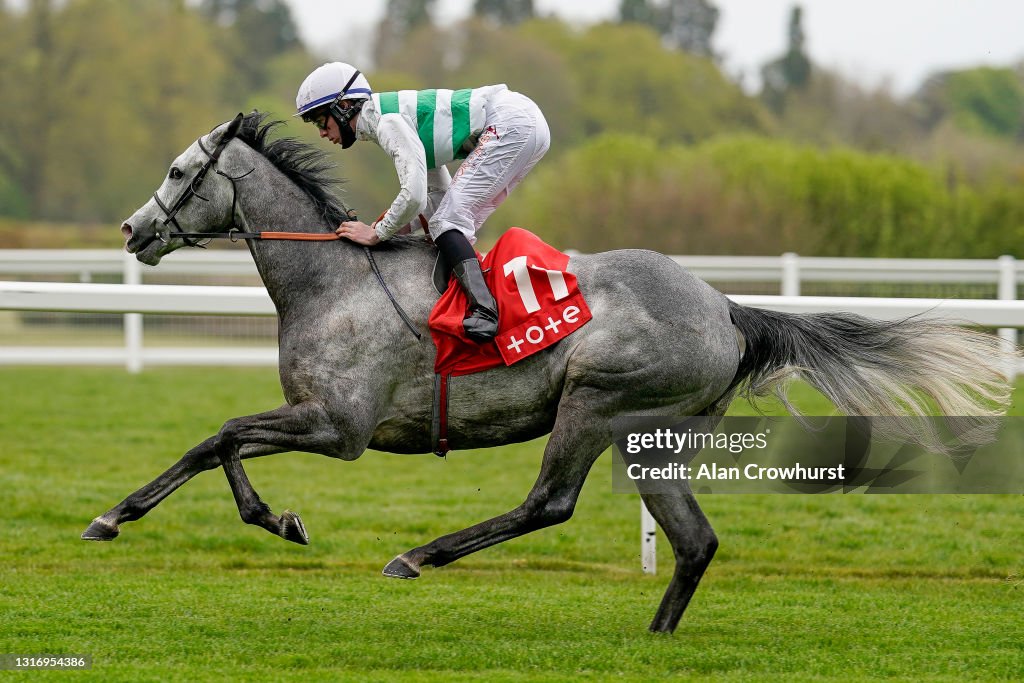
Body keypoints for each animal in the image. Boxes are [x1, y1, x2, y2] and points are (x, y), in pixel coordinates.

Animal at [88, 113, 1015, 634]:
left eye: (180, 171)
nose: (132, 230)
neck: (334, 278)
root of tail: (724, 307)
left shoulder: (339, 426)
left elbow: (220, 435)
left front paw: (245, 517)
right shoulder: (315, 416)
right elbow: (216, 443)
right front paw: (149, 515)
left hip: (597, 401)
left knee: (549, 502)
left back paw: (419, 555)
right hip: (655, 436)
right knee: (695, 539)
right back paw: (656, 634)